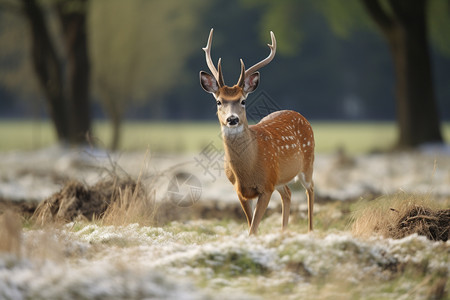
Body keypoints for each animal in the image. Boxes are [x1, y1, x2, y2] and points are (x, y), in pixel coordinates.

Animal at [199, 28, 314, 234]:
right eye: (219, 101)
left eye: (243, 100)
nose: (232, 119)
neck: (248, 170)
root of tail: (300, 115)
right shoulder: (241, 192)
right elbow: (251, 227)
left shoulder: (266, 187)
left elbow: (253, 228)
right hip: (280, 178)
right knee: (288, 193)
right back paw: (283, 232)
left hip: (308, 163)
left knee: (310, 190)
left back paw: (310, 231)